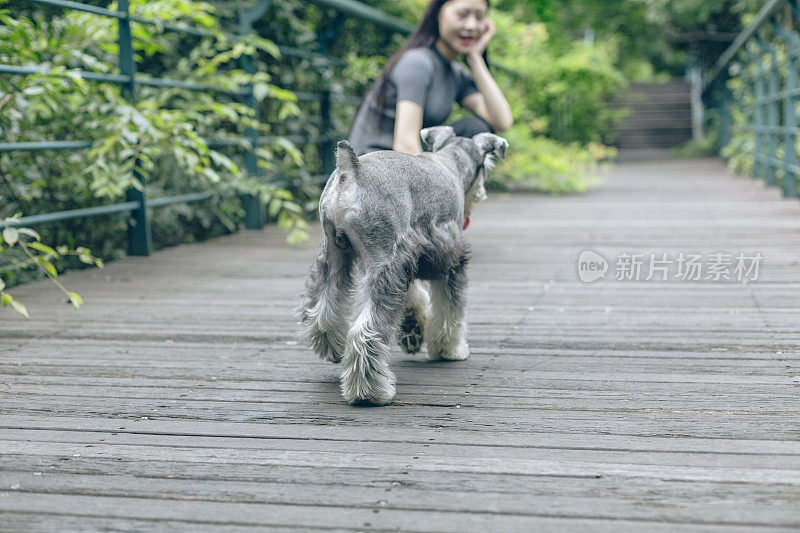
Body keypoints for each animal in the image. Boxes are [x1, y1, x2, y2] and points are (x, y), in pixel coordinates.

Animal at [296, 127, 510, 406]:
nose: (480, 194)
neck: (451, 161)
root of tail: (351, 169)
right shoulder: (449, 261)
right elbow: (450, 310)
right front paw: (450, 349)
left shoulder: (407, 256)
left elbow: (413, 295)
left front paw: (413, 327)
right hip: (380, 260)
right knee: (365, 331)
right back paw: (370, 391)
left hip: (334, 256)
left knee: (321, 309)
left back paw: (333, 347)